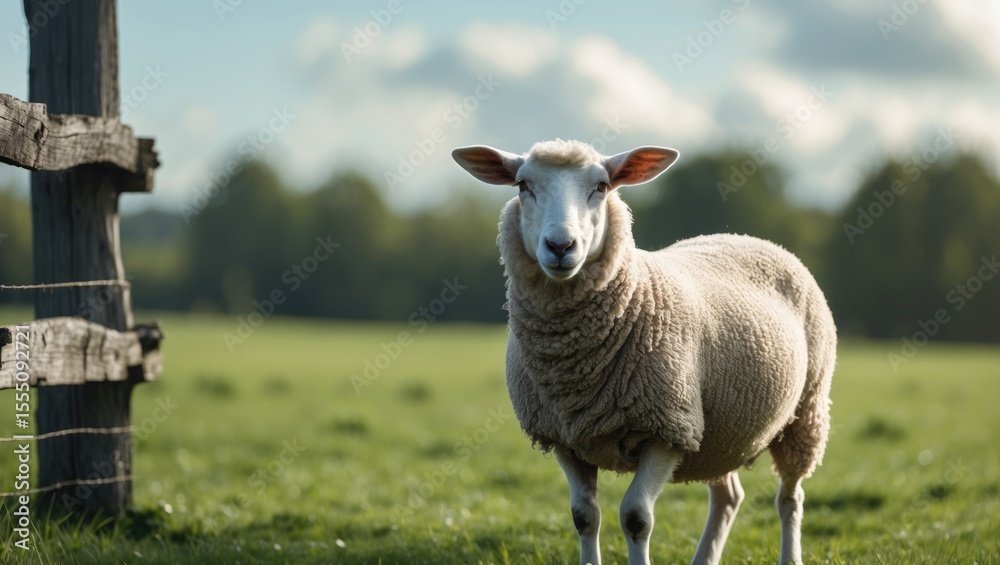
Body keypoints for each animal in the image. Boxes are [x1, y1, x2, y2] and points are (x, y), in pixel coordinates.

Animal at [452, 139, 837, 565]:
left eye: (602, 186)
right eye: (522, 185)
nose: (561, 246)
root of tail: (748, 237)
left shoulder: (668, 428)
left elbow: (635, 517)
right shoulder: (565, 437)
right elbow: (583, 516)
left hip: (806, 412)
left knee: (790, 498)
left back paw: (790, 553)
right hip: (720, 434)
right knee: (728, 496)